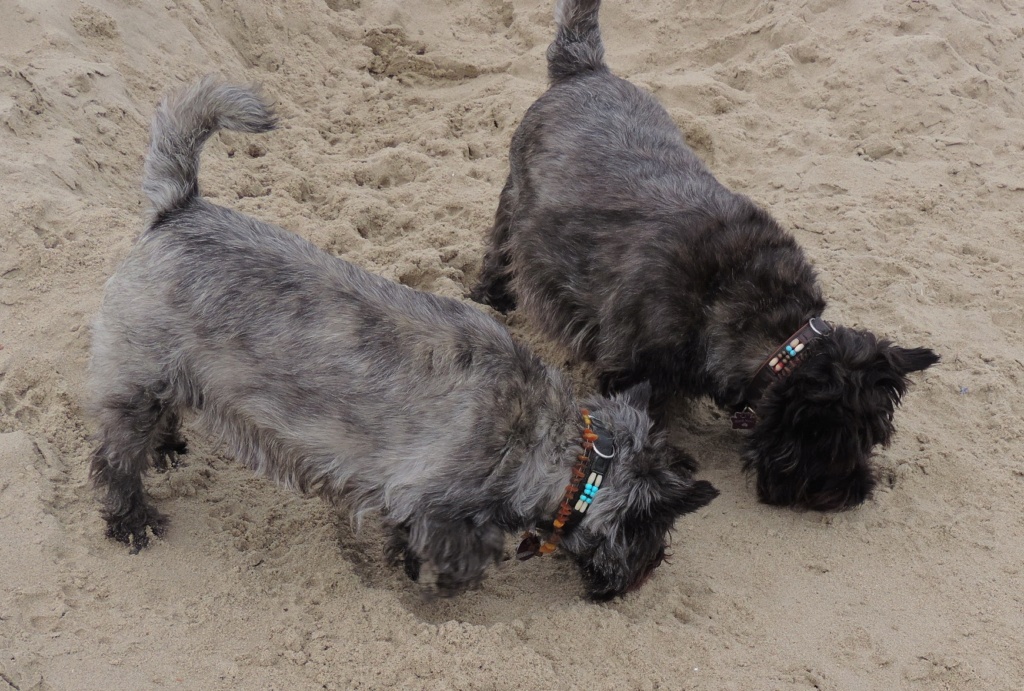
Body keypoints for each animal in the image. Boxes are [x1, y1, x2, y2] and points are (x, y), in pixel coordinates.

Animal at [88, 77, 720, 601]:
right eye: (656, 535)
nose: (629, 589)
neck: (565, 450)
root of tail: (177, 209)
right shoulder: (435, 502)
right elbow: (465, 552)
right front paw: (438, 584)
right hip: (137, 379)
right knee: (116, 458)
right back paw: (133, 521)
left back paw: (169, 447)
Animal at [471, 1, 937, 513]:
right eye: (830, 435)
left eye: (873, 435)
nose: (853, 493)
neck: (742, 299)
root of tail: (586, 70)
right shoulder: (630, 371)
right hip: (515, 201)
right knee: (501, 249)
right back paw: (493, 296)